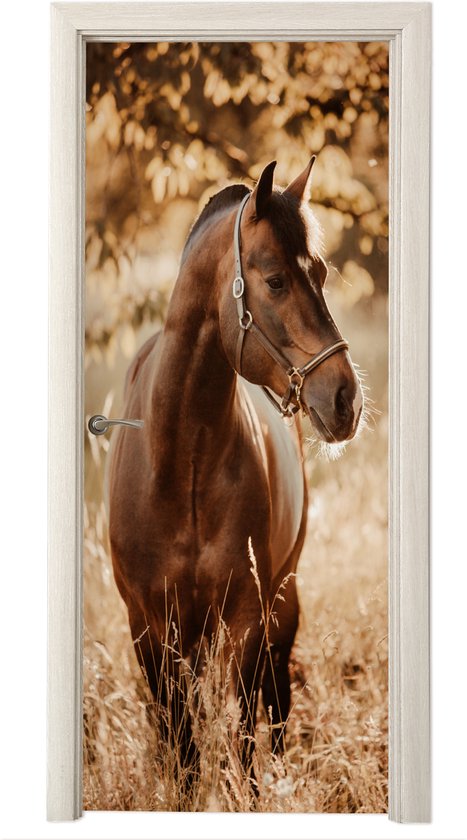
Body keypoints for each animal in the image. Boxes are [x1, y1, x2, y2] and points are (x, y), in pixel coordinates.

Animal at [108, 156, 363, 796]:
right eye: (275, 281)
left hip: (282, 599)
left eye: (321, 272)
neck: (181, 464)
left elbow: (245, 740)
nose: (346, 399)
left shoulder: (248, 618)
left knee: (275, 706)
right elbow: (182, 751)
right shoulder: (150, 627)